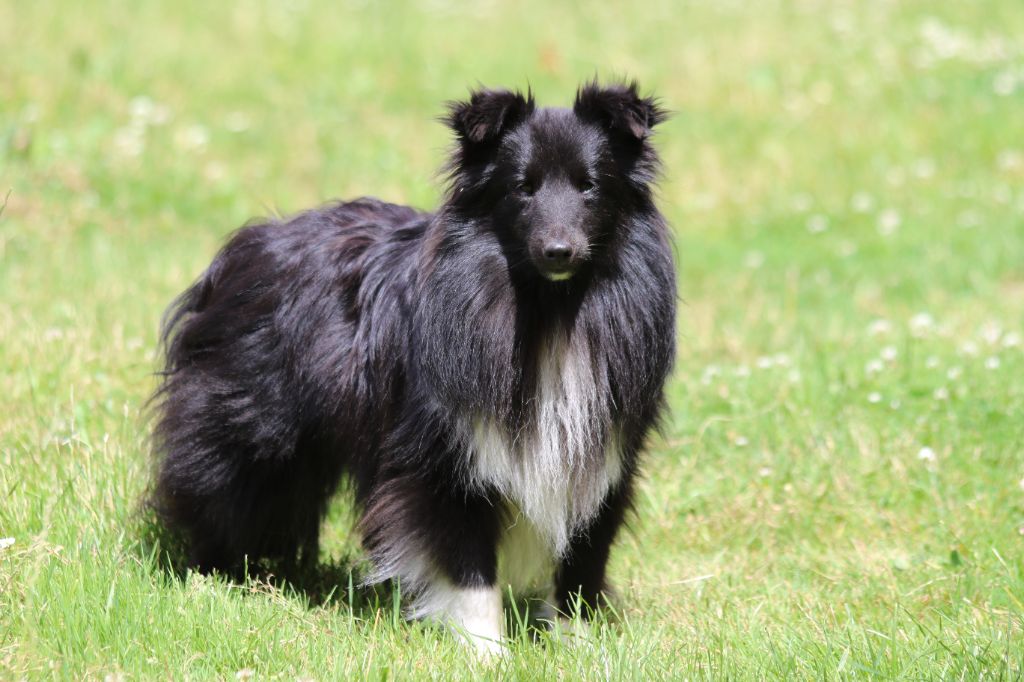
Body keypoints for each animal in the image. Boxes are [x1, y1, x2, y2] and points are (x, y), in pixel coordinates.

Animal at [149, 82, 671, 651]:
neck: (549, 310)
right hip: (251, 421)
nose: (559, 250)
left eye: (589, 186)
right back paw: (214, 574)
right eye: (522, 188)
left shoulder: (607, 451)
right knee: (217, 481)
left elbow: (583, 553)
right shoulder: (445, 451)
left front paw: (580, 644)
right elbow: (468, 562)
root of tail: (245, 246)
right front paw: (486, 651)